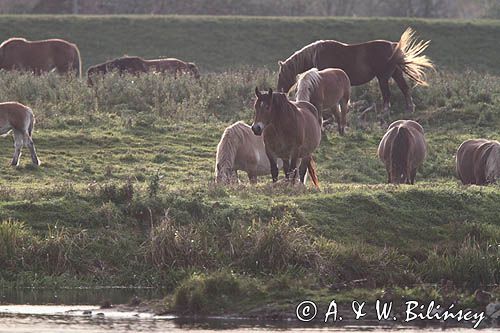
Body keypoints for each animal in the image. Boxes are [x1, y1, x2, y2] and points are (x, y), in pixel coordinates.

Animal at [278, 26, 434, 114]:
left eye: (282, 75)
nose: (280, 92)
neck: (317, 54)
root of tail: (393, 46)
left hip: (383, 78)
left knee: (387, 95)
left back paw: (384, 113)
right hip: (396, 74)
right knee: (405, 89)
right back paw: (409, 109)